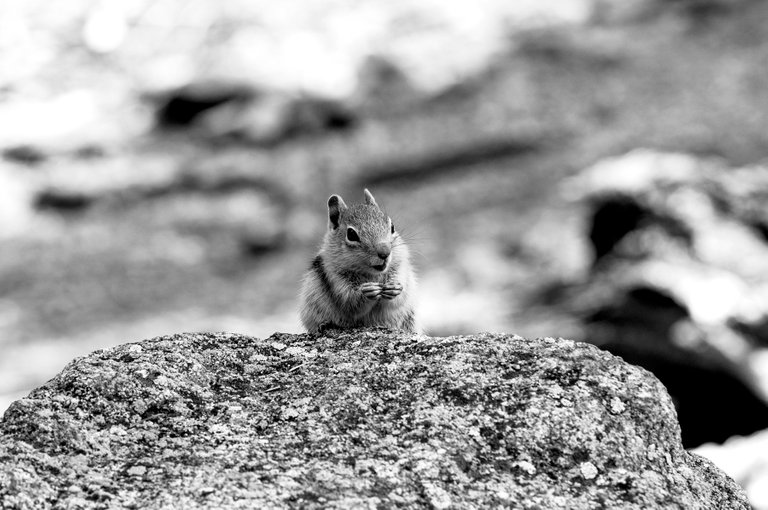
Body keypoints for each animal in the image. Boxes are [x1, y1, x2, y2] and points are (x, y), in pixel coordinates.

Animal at [300, 189, 420, 332]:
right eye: (351, 234)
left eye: (392, 227)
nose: (385, 252)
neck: (374, 274)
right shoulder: (335, 278)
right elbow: (350, 302)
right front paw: (367, 292)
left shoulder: (400, 267)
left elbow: (400, 296)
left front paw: (395, 288)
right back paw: (325, 325)